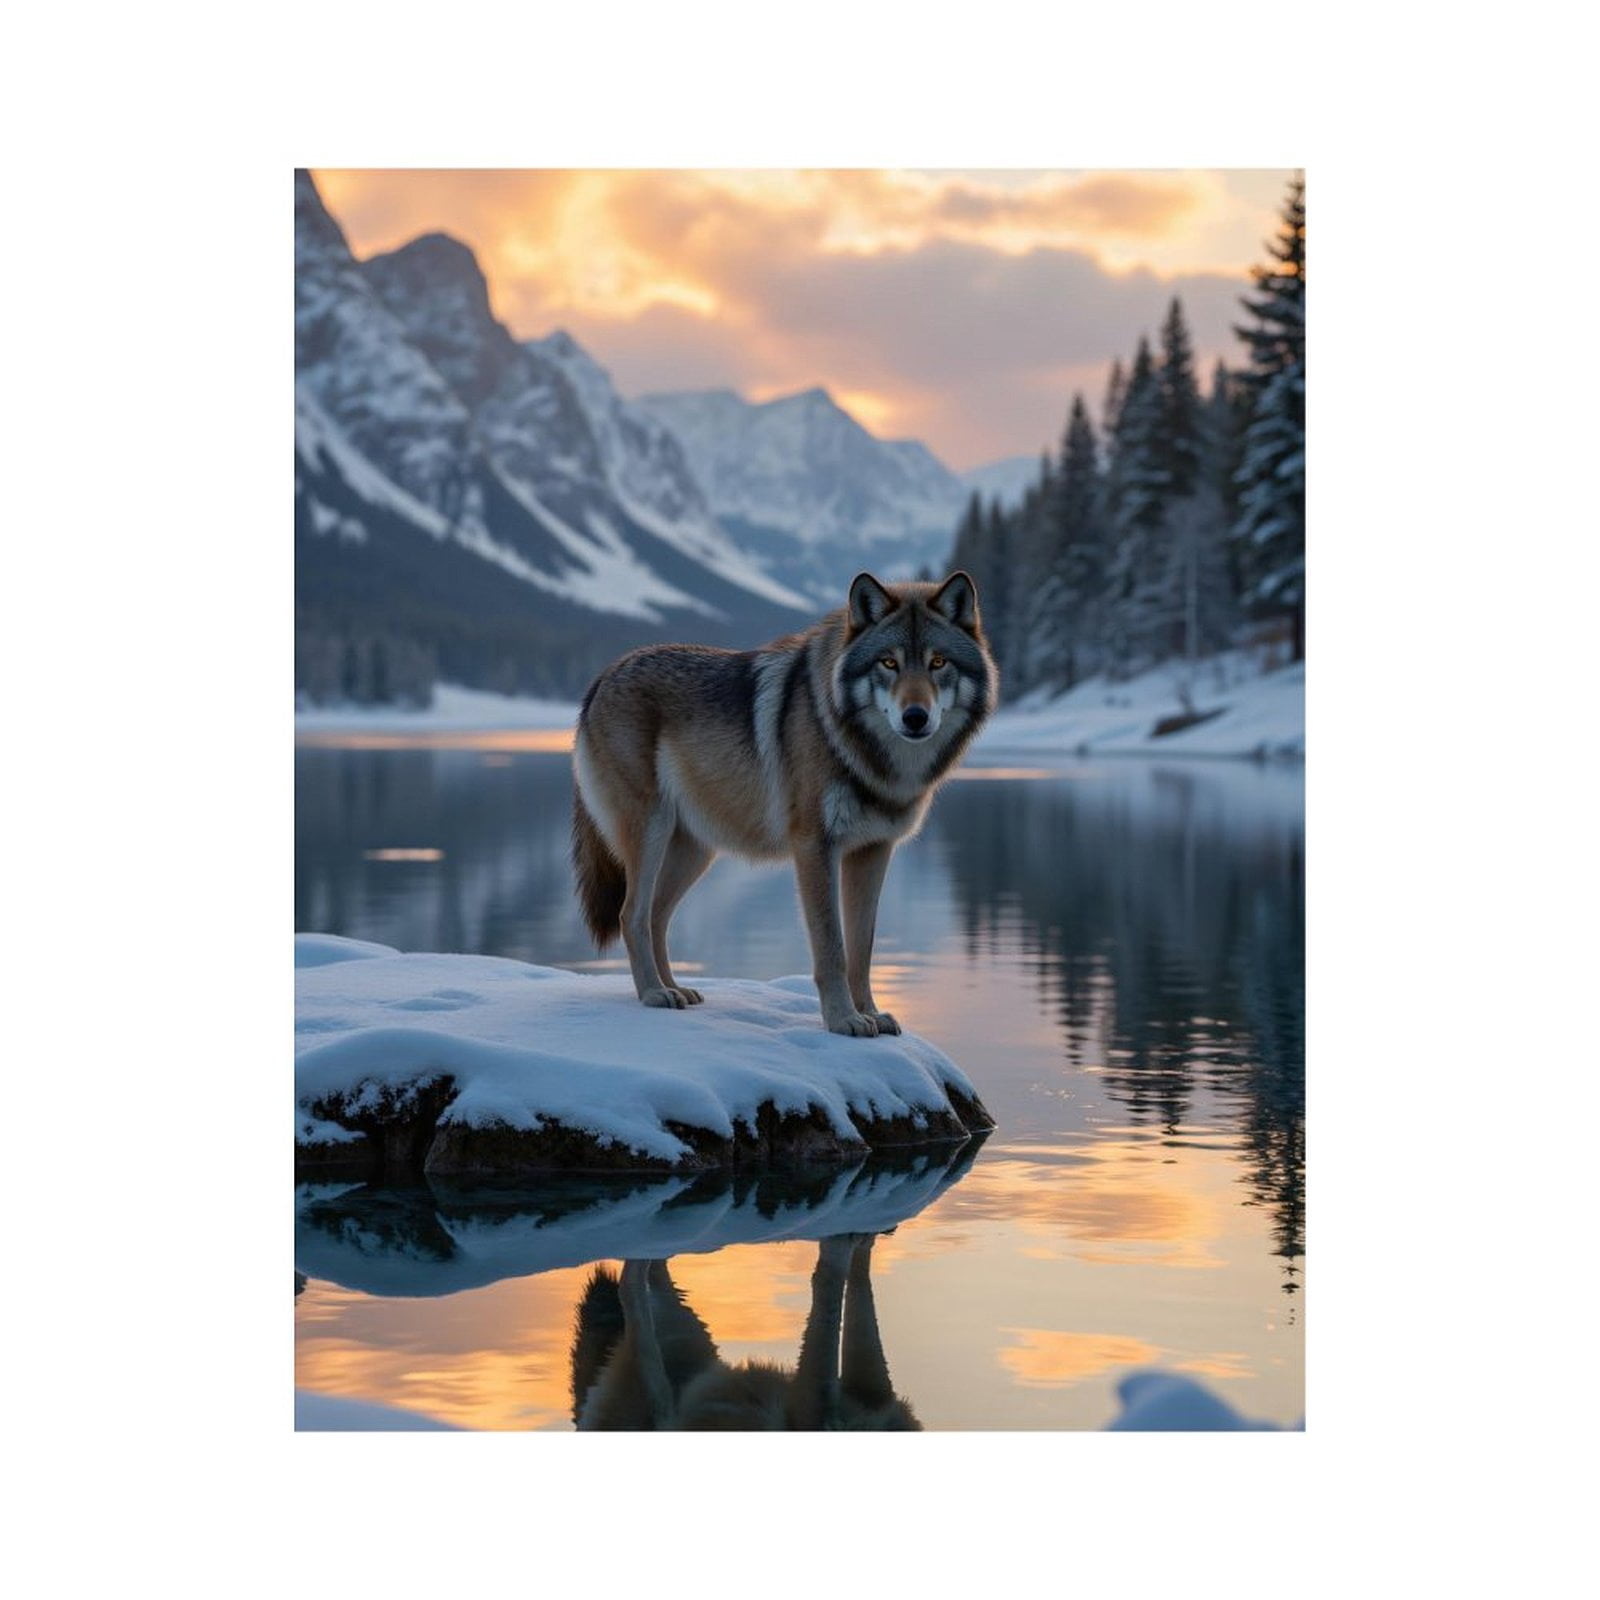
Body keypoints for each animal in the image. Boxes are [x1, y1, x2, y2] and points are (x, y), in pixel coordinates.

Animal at [571, 570, 996, 1036]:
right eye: (888, 663)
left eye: (938, 663)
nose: (915, 717)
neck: (868, 757)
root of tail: (602, 677)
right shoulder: (815, 847)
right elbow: (832, 948)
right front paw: (843, 1020)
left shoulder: (873, 852)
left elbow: (862, 950)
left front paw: (869, 1013)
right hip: (652, 835)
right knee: (631, 915)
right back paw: (653, 994)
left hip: (694, 852)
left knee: (656, 917)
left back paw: (676, 990)